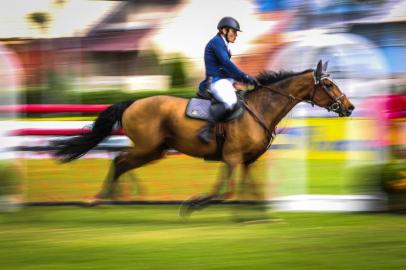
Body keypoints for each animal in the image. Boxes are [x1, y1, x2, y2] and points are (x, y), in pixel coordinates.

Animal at [51, 60, 356, 215]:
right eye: (328, 84)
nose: (350, 107)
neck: (260, 109)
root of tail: (133, 102)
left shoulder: (244, 161)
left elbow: (251, 191)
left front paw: (257, 216)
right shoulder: (232, 158)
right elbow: (226, 192)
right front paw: (194, 203)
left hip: (155, 150)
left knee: (122, 162)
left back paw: (112, 198)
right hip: (148, 147)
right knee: (119, 160)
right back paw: (101, 198)